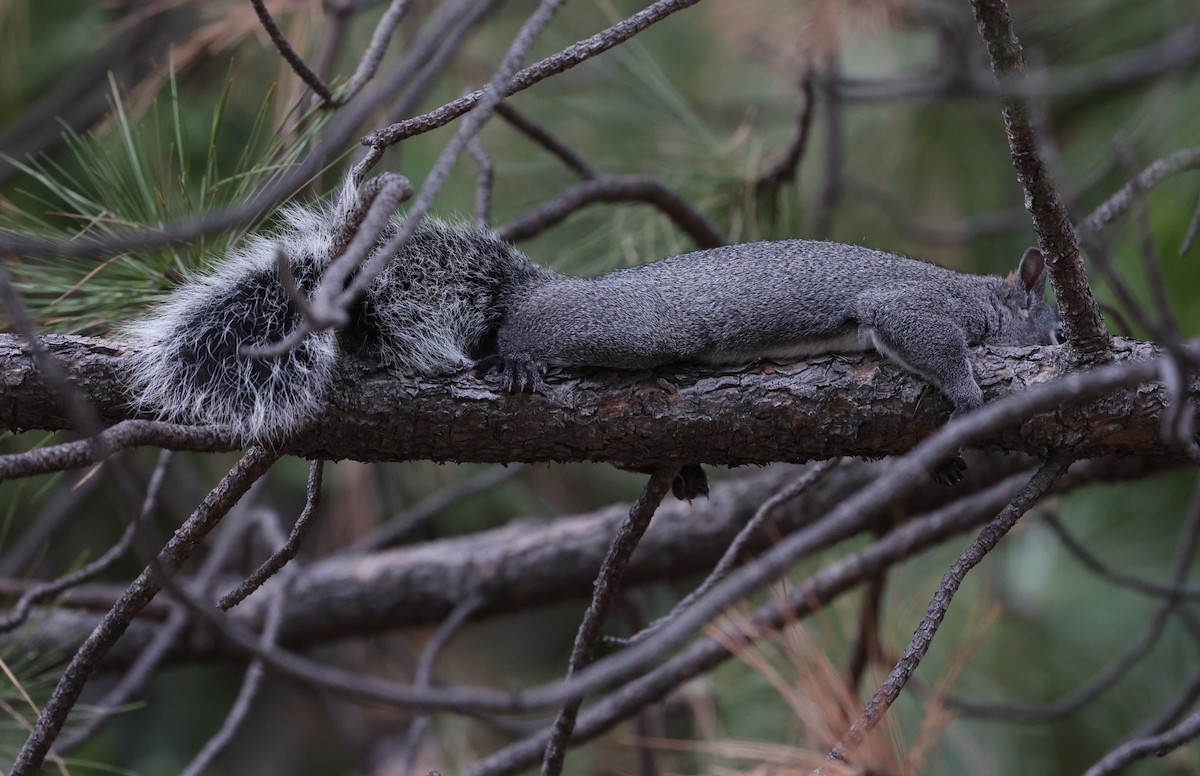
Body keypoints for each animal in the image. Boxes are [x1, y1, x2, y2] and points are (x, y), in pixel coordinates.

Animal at [126, 183, 1062, 492]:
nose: (1065, 342)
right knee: (521, 328)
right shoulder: (913, 305)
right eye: (1054, 322)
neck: (978, 295)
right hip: (633, 327)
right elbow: (923, 337)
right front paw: (970, 390)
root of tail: (545, 286)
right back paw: (514, 355)